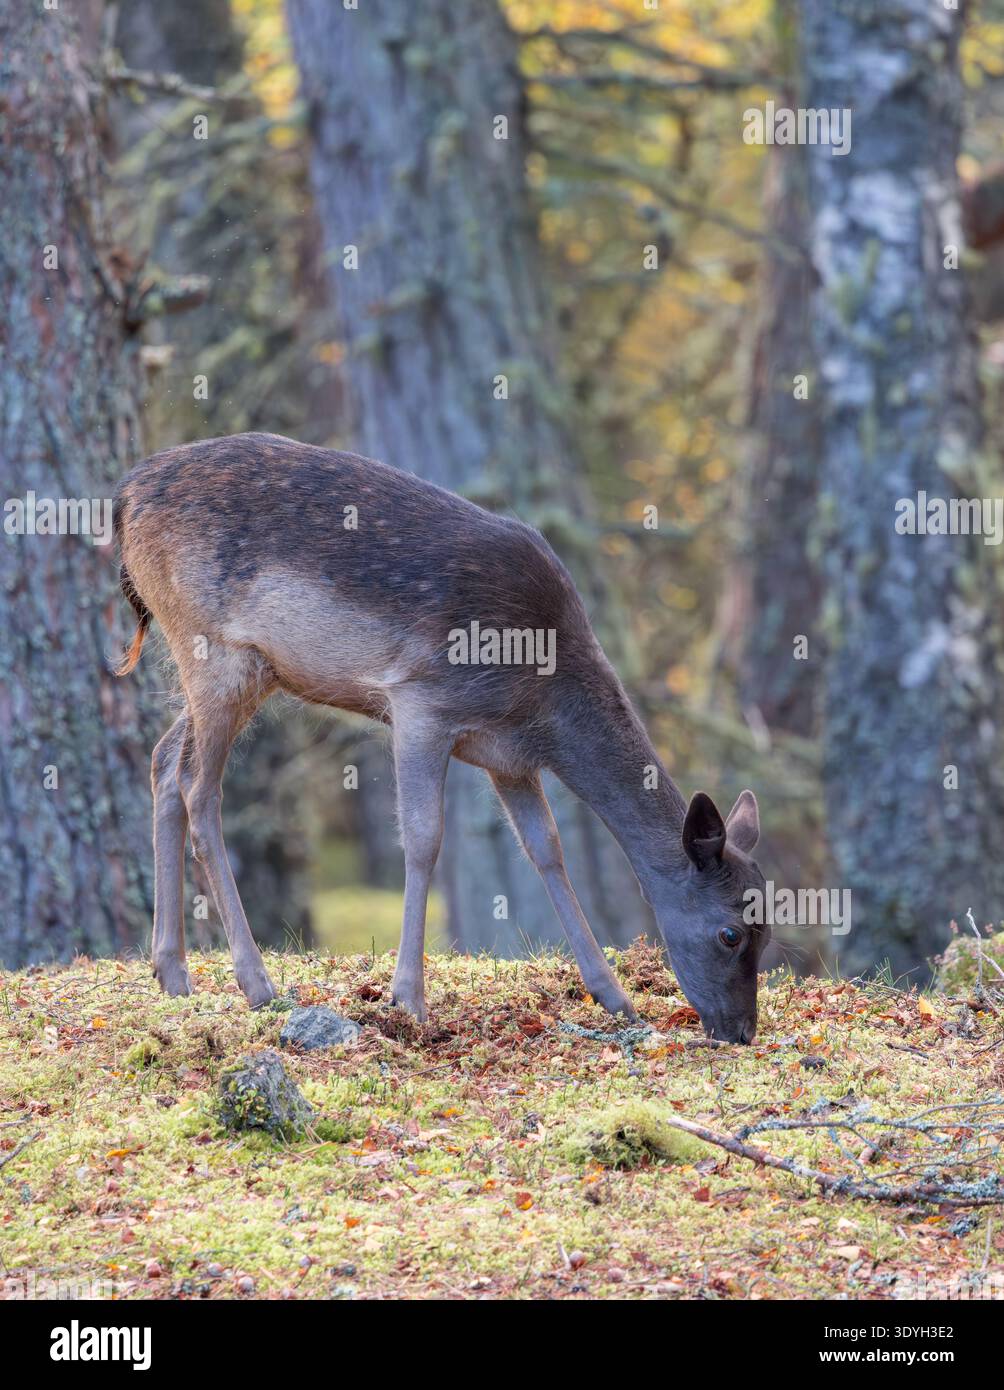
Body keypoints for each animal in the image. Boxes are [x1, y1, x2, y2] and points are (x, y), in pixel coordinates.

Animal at [114, 433, 769, 1042]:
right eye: (730, 932)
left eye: (770, 928)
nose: (740, 1031)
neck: (542, 695)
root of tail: (124, 497)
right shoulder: (421, 702)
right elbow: (425, 839)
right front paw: (407, 998)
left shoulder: (510, 759)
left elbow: (547, 849)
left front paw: (614, 997)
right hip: (214, 650)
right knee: (199, 787)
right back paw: (257, 984)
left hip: (246, 673)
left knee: (164, 760)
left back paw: (172, 973)